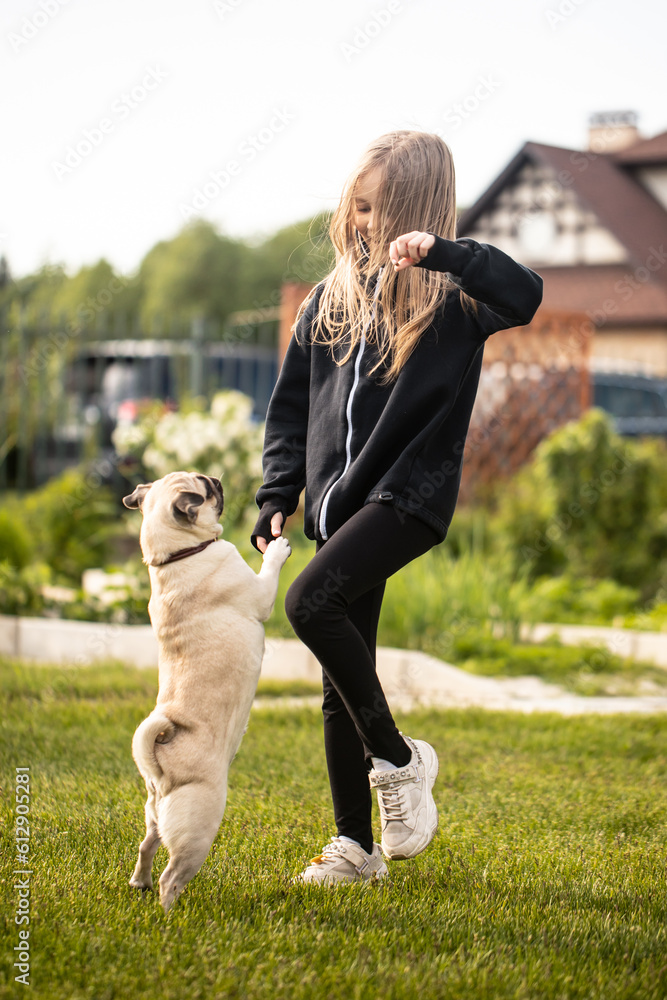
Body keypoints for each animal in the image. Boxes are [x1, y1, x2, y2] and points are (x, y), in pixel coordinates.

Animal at [124, 472, 290, 912]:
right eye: (205, 487)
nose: (216, 477)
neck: (177, 555)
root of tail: (160, 763)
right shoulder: (260, 594)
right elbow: (269, 573)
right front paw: (278, 549)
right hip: (200, 824)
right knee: (172, 875)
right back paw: (169, 913)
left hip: (154, 815)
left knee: (147, 846)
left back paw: (139, 882)